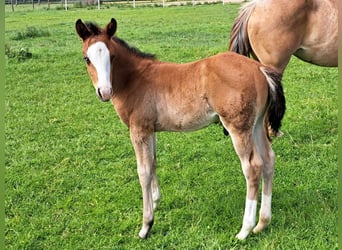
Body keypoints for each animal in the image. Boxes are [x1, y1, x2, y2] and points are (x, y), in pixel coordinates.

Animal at [75, 17, 286, 240]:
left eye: (112, 56)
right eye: (86, 58)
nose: (105, 92)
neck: (135, 79)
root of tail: (259, 69)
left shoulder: (139, 129)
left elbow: (143, 171)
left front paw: (146, 225)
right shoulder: (150, 130)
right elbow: (153, 162)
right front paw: (155, 201)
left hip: (238, 127)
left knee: (252, 167)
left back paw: (245, 229)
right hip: (257, 124)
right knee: (268, 159)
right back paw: (262, 223)